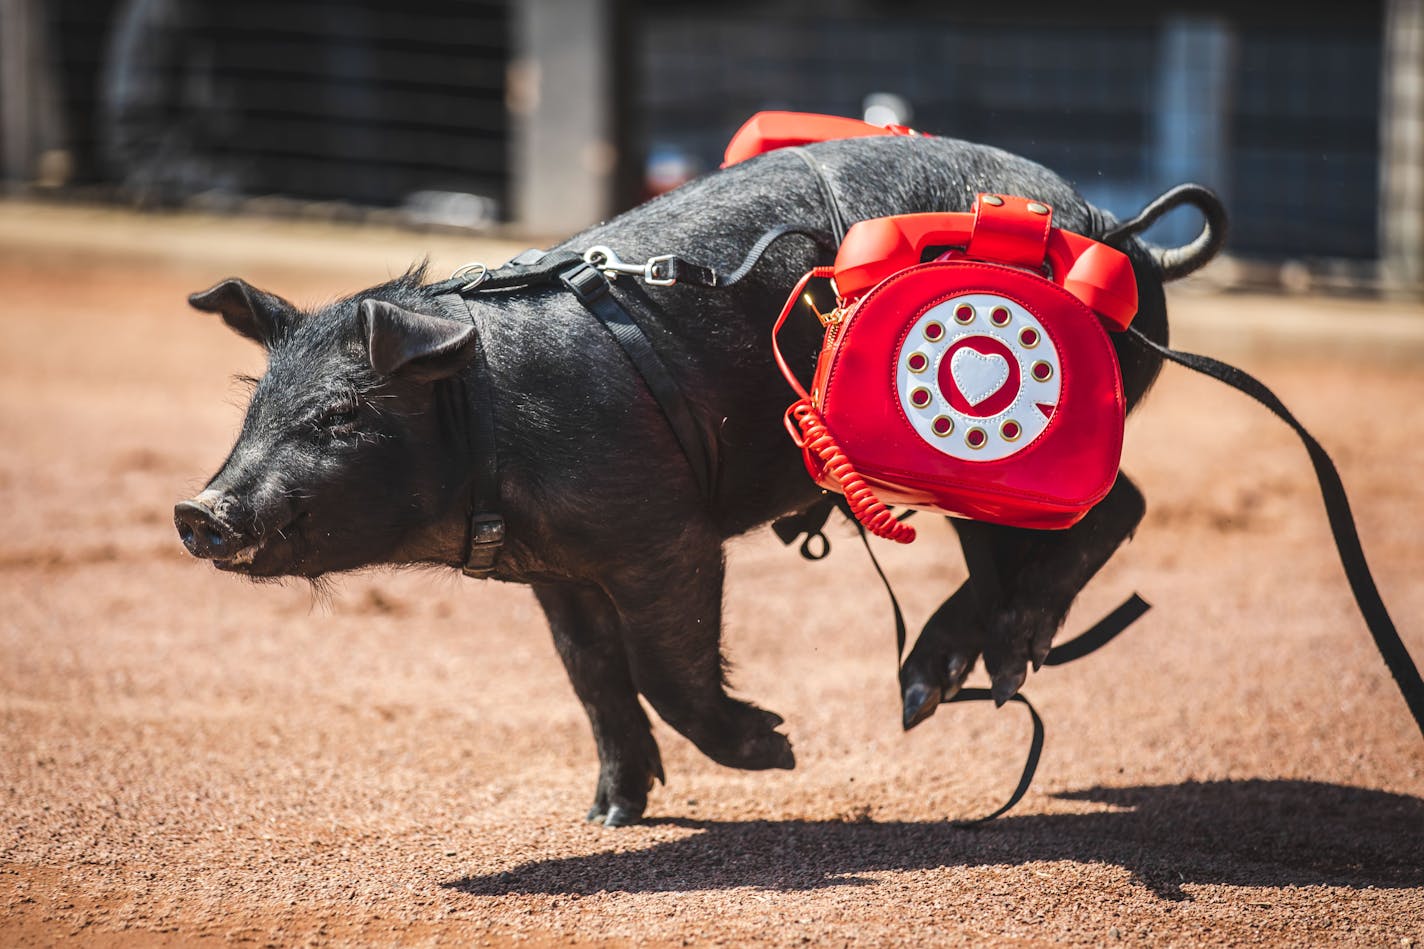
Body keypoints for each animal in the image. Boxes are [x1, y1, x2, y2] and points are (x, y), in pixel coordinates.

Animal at [175, 136, 1224, 826]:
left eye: (339, 416)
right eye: (253, 408)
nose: (198, 509)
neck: (490, 420)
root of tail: (1127, 231)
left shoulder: (662, 533)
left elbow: (663, 668)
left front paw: (781, 747)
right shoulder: (557, 574)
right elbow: (594, 677)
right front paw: (609, 816)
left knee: (1112, 508)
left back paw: (981, 672)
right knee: (1017, 553)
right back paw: (925, 692)